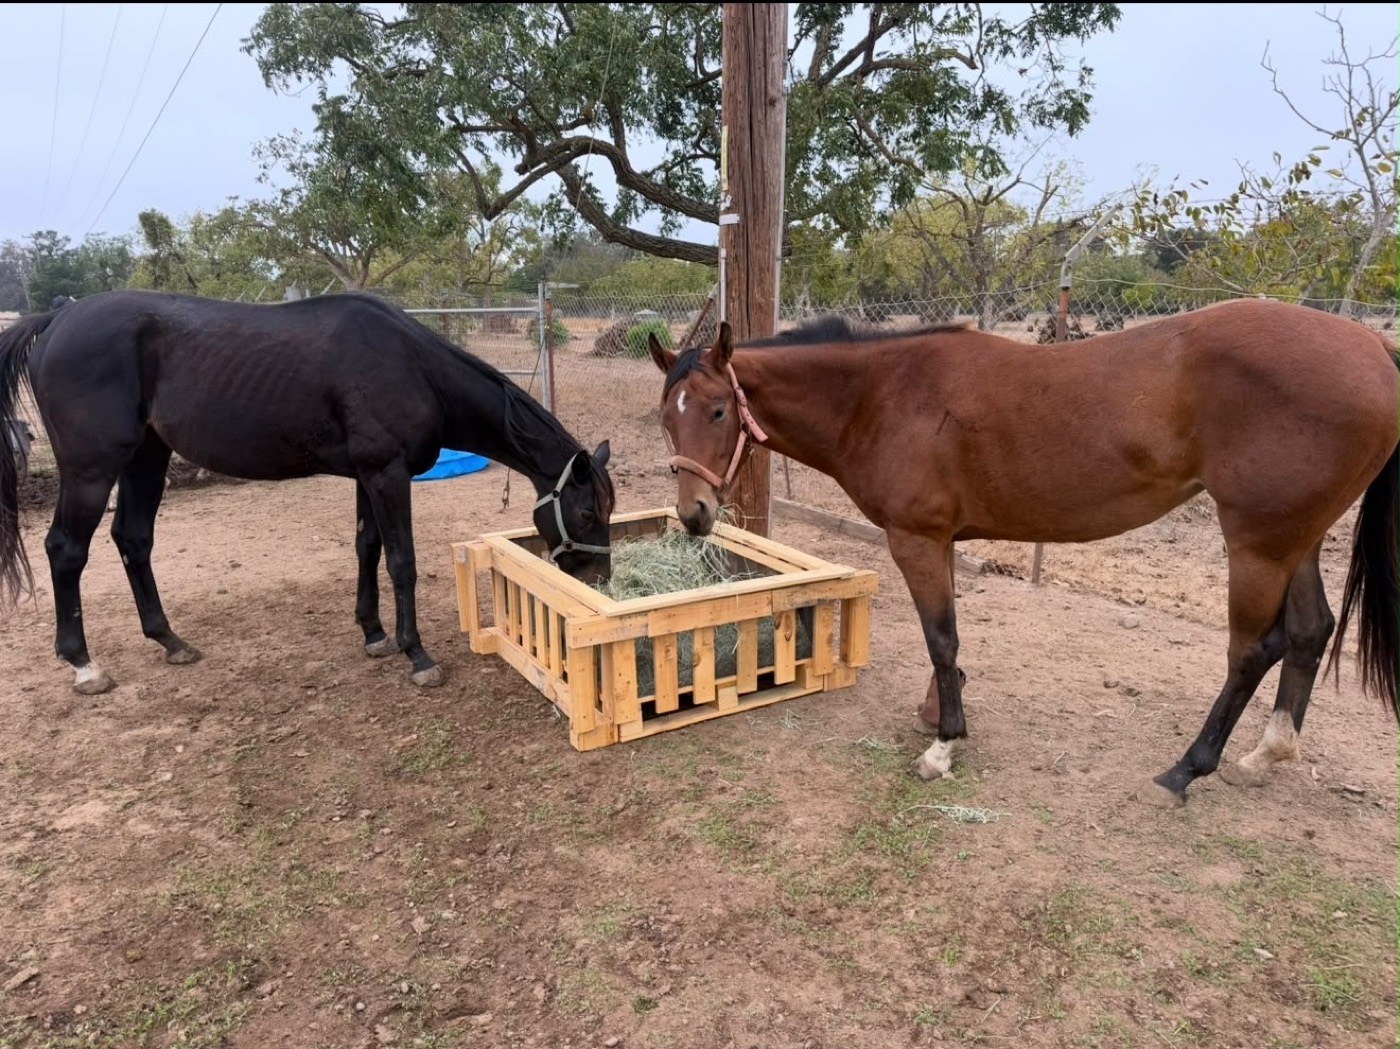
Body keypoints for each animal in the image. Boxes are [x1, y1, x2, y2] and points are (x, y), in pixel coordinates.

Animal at [0, 288, 616, 695]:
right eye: (587, 513)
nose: (599, 582)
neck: (413, 366)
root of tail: (58, 318)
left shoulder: (368, 476)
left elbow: (367, 548)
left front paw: (374, 634)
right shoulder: (387, 473)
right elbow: (402, 562)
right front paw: (416, 654)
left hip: (147, 458)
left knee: (133, 539)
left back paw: (170, 641)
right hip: (92, 468)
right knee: (67, 551)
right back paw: (83, 664)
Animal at [648, 298, 1399, 806]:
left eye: (718, 410)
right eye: (666, 416)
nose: (694, 513)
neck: (883, 395)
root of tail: (1372, 347)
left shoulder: (917, 540)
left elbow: (941, 639)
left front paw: (944, 745)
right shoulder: (940, 543)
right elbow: (947, 643)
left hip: (1257, 541)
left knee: (1252, 650)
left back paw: (1188, 767)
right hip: (1296, 537)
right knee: (1309, 631)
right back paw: (1268, 753)